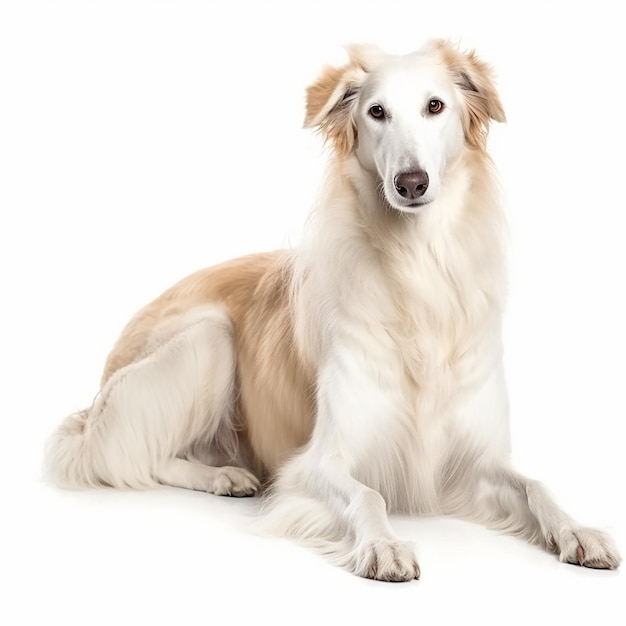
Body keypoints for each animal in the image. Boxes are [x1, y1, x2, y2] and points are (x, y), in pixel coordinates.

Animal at [46, 40, 616, 580]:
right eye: (376, 112)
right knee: (125, 455)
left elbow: (536, 486)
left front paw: (579, 531)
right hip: (208, 337)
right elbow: (370, 493)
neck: (416, 271)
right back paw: (223, 475)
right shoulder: (315, 463)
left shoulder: (473, 460)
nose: (411, 183)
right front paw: (383, 545)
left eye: (435, 106)